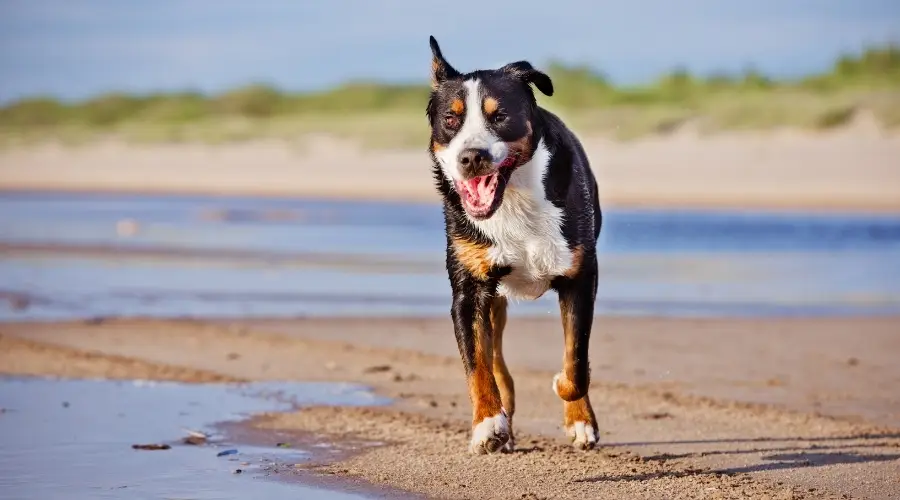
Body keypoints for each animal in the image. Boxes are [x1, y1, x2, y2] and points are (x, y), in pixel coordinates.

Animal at [428, 36, 604, 458]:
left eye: (501, 116)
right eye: (451, 119)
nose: (471, 157)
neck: (513, 201)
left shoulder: (580, 277)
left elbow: (576, 361)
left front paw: (574, 409)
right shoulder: (470, 290)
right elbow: (477, 365)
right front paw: (489, 423)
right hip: (494, 300)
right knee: (496, 361)